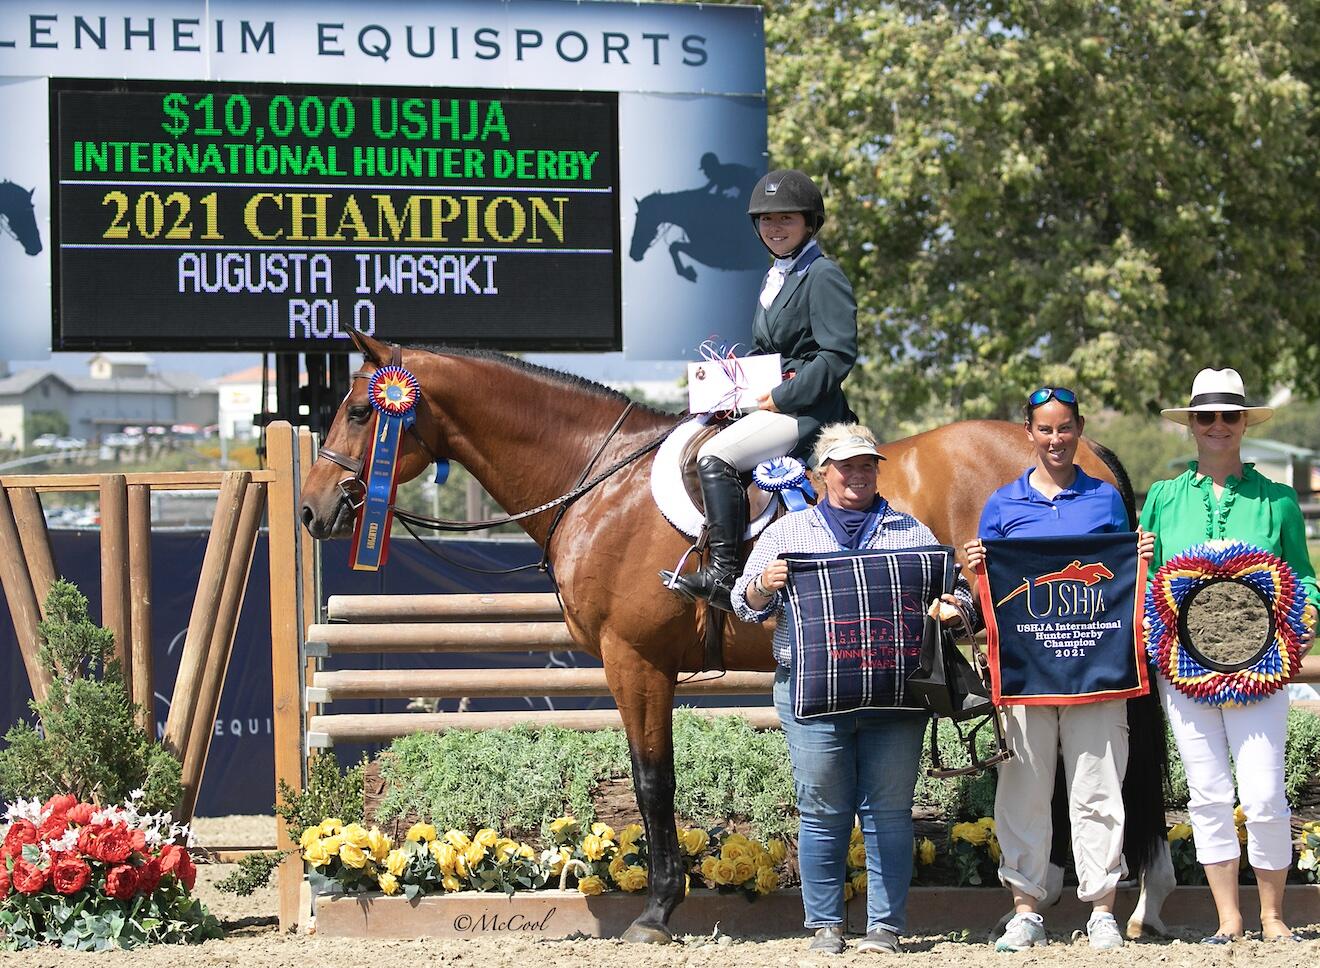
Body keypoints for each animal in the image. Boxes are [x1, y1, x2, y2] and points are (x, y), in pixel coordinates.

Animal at [302, 334, 1177, 945]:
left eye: (361, 411)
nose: (312, 511)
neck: (600, 482)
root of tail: (1079, 448)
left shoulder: (635, 663)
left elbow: (653, 782)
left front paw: (657, 910)